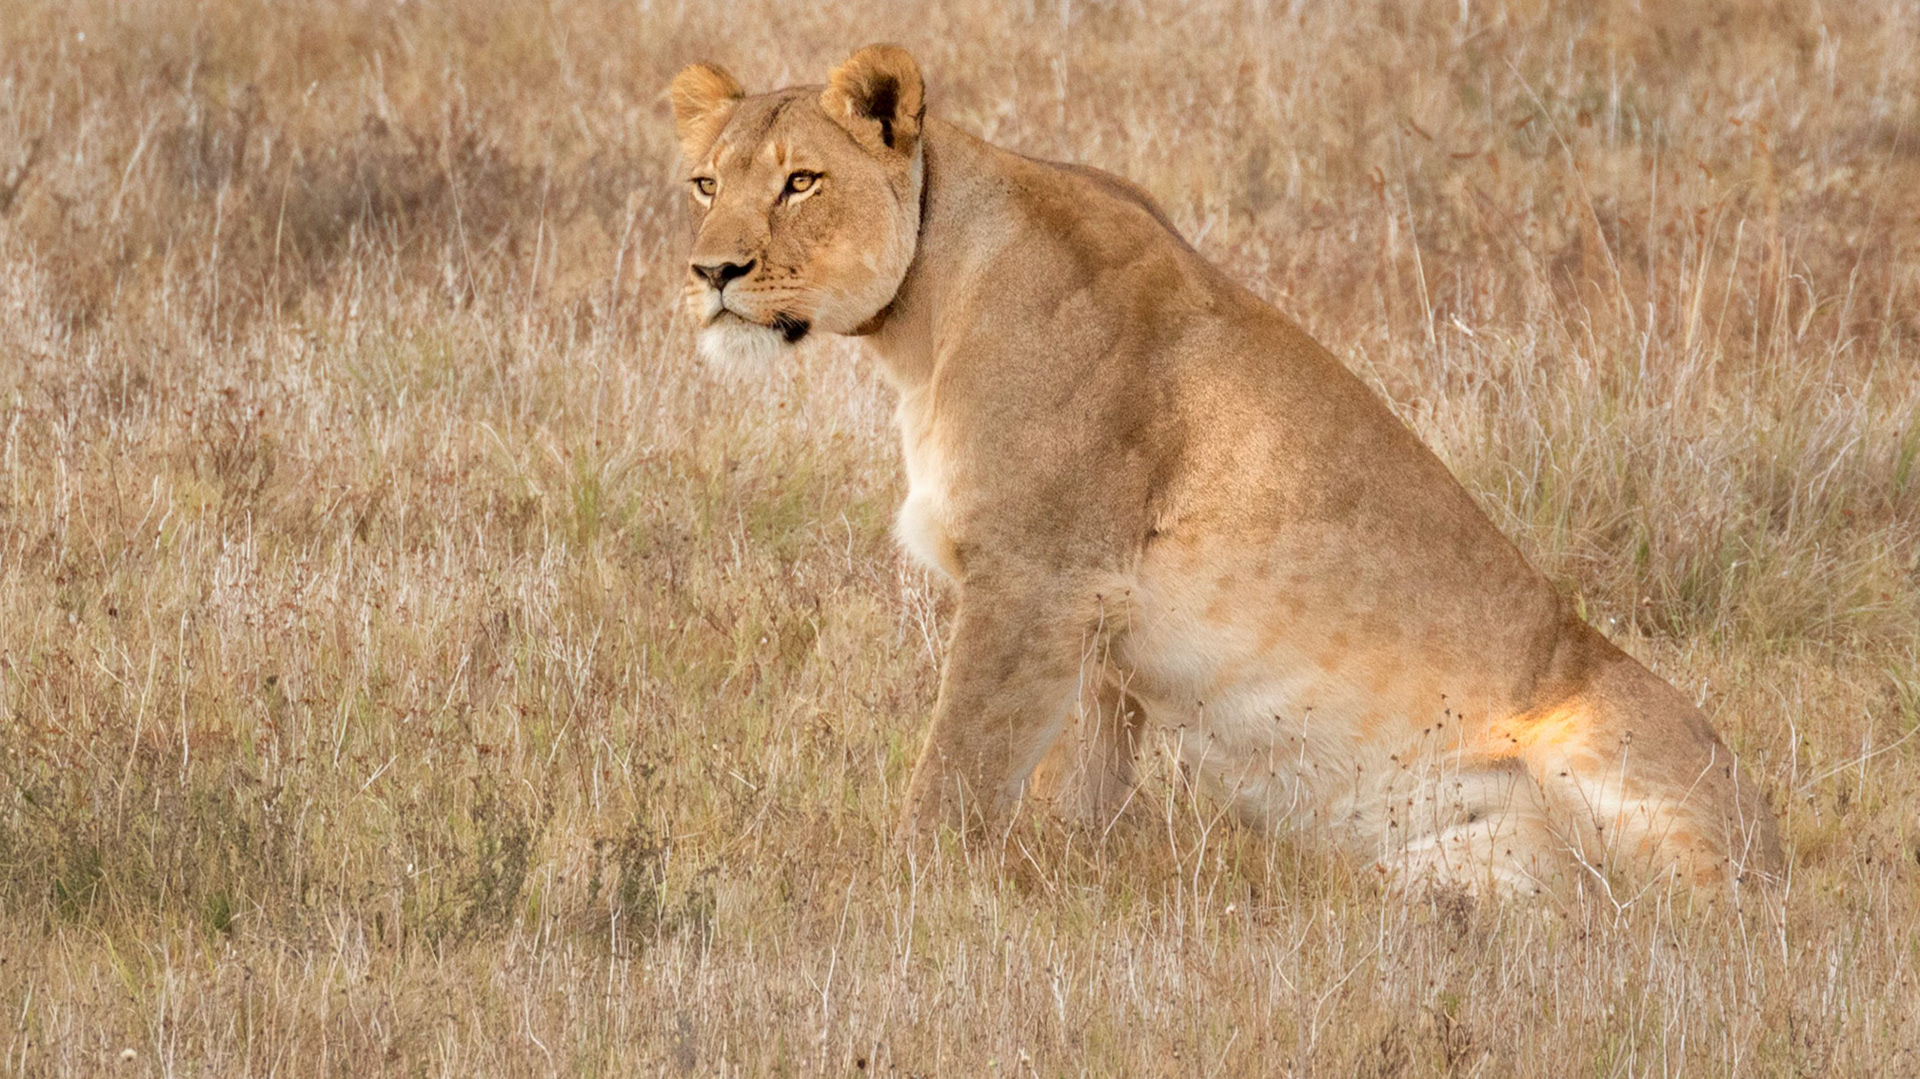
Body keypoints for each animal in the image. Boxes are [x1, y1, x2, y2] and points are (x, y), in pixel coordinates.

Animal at [668, 45, 1781, 895]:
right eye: (706, 183)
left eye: (801, 181)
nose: (712, 272)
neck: (924, 312)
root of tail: (1778, 868)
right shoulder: (1091, 615)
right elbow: (1075, 780)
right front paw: (1071, 877)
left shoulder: (1032, 578)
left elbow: (960, 765)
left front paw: (898, 895)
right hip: (1450, 865)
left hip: (1602, 755)